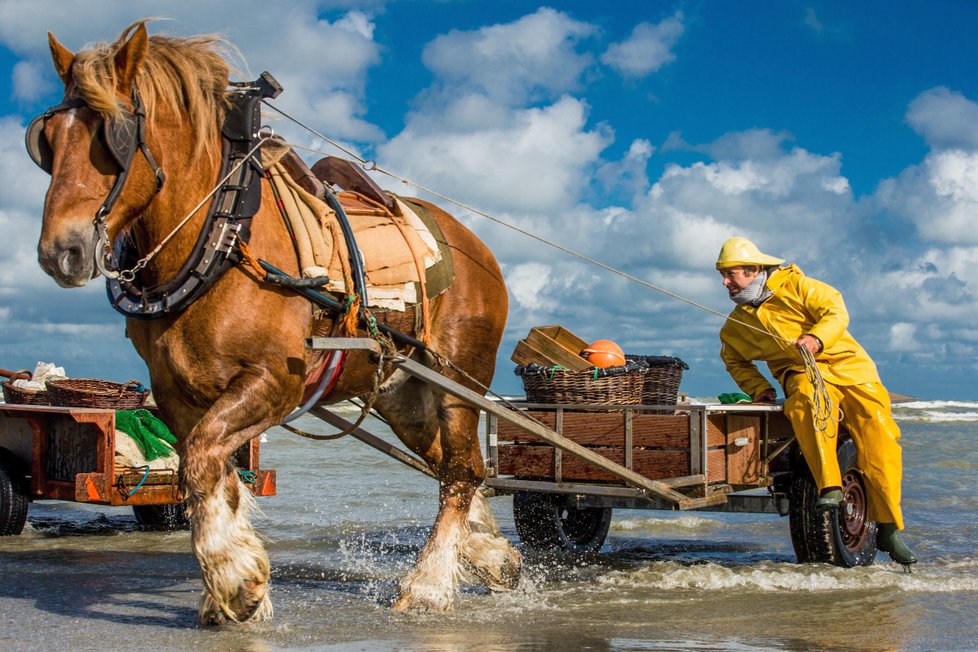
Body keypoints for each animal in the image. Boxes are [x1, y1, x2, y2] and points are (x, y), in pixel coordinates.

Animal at [30, 19, 520, 620]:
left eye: (114, 136)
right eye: (48, 141)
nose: (61, 251)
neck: (222, 240)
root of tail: (479, 248)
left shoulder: (274, 381)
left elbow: (202, 463)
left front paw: (236, 580)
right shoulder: (176, 393)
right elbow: (213, 475)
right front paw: (236, 579)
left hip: (456, 379)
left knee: (460, 471)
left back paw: (428, 583)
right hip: (402, 393)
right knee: (460, 466)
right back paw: (491, 553)